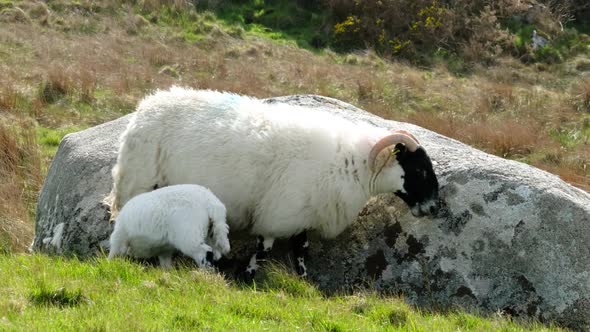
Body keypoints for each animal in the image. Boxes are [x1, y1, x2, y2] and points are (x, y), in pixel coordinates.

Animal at [106, 87, 440, 278]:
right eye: (420, 171)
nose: (435, 208)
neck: (351, 163)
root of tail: (147, 105)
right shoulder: (277, 212)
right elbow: (265, 248)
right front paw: (247, 276)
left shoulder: (302, 215)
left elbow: (301, 251)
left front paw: (304, 283)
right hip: (139, 183)